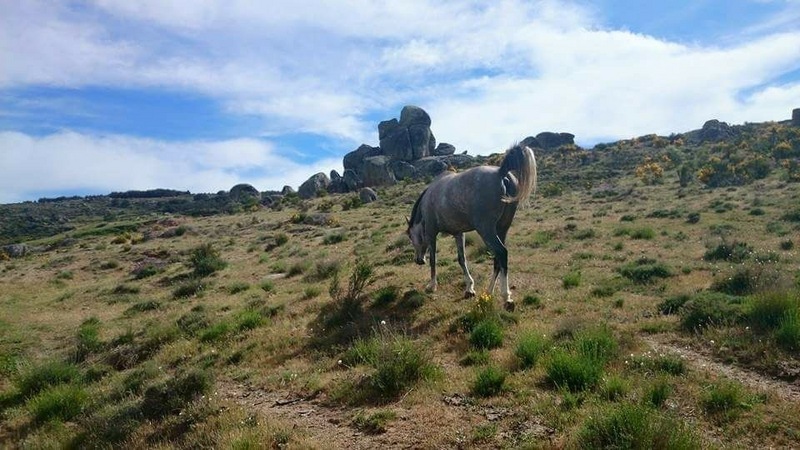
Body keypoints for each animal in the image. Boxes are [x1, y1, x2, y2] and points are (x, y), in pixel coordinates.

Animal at [406, 144, 537, 311]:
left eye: (410, 236)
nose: (418, 260)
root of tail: (501, 173)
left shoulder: (431, 233)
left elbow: (433, 259)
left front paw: (432, 285)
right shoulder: (458, 233)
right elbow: (462, 259)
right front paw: (469, 288)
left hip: (486, 230)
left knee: (502, 253)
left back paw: (506, 297)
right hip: (502, 229)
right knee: (497, 259)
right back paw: (488, 292)